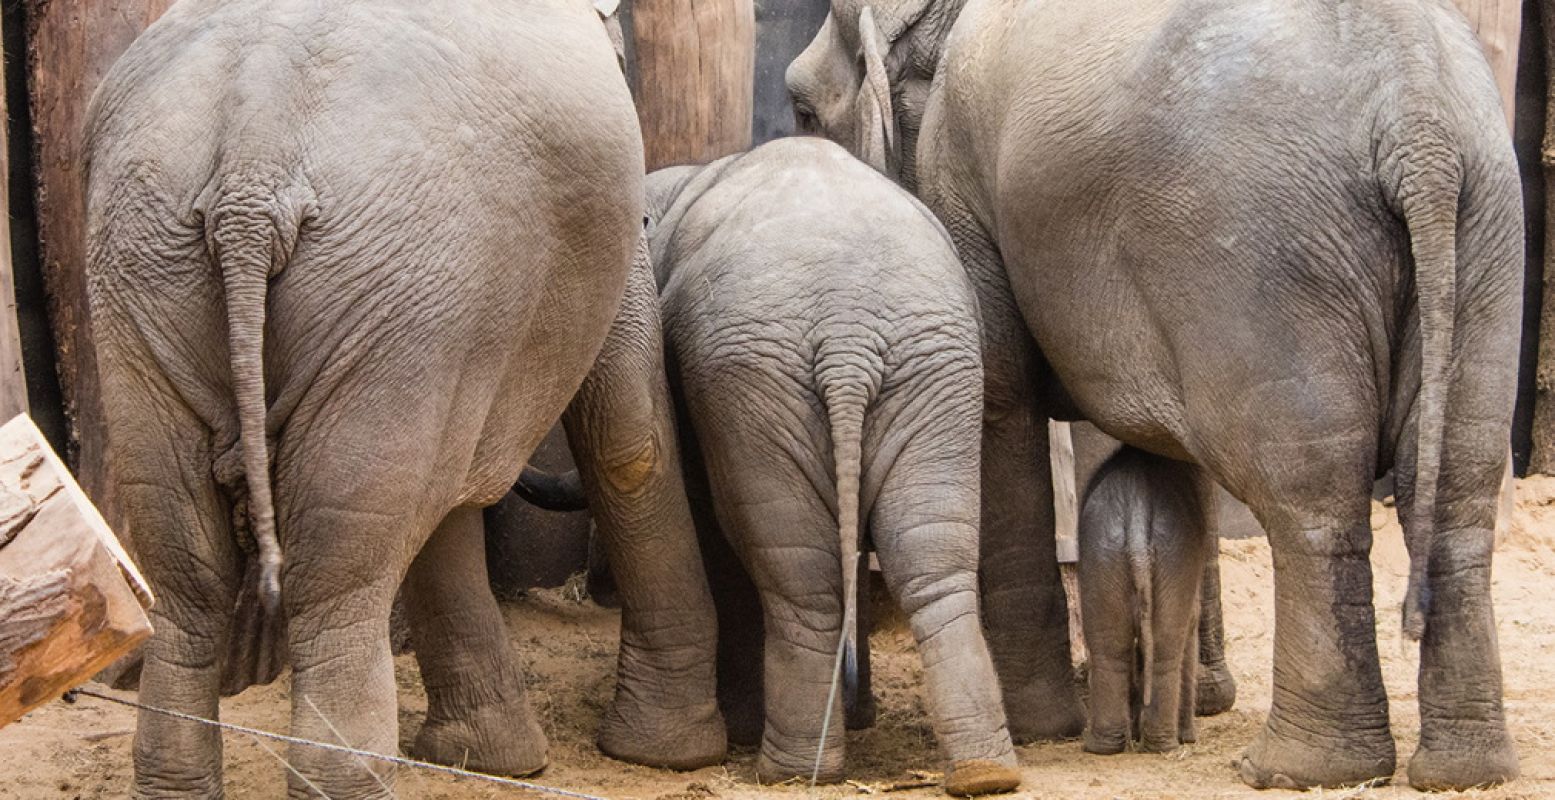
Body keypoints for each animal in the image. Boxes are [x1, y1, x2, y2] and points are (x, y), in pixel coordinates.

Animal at [80, 0, 721, 790]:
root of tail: (252, 175)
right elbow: (628, 440)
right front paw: (667, 756)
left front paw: (483, 760)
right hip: (385, 280)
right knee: (338, 583)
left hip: (147, 264)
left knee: (187, 570)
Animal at [640, 135, 1020, 790]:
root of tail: (848, 339)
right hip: (933, 370)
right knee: (932, 556)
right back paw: (985, 773)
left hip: (761, 380)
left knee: (799, 573)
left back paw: (790, 770)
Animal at [1082, 445, 1212, 750]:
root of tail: (1137, 505)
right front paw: (1189, 738)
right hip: (1173, 551)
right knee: (1166, 649)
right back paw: (1165, 744)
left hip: (1102, 550)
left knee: (1110, 649)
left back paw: (1104, 746)